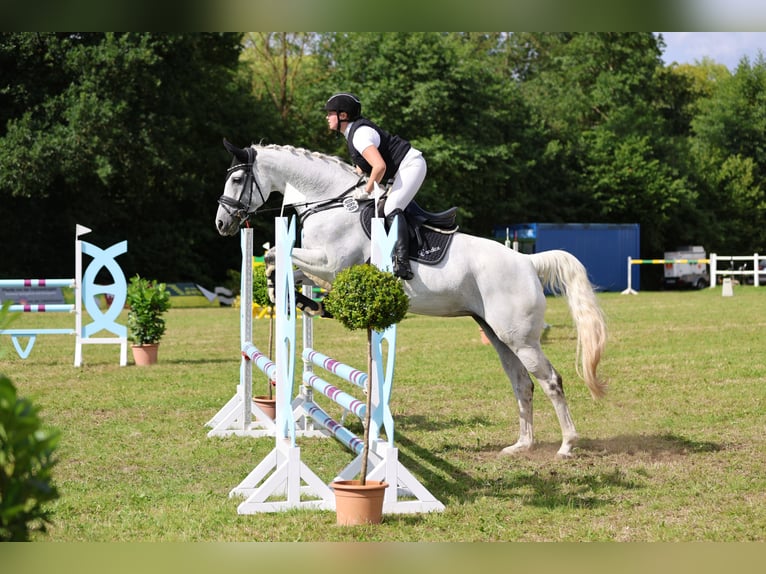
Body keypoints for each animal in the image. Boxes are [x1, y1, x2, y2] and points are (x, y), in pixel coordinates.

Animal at [214, 141, 608, 460]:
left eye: (237, 179)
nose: (221, 223)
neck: (329, 204)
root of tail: (527, 261)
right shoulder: (321, 268)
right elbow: (284, 266)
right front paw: (300, 301)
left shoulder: (331, 263)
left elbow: (279, 255)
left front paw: (298, 300)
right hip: (499, 335)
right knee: (522, 384)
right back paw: (521, 446)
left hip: (520, 337)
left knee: (551, 381)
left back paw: (567, 445)